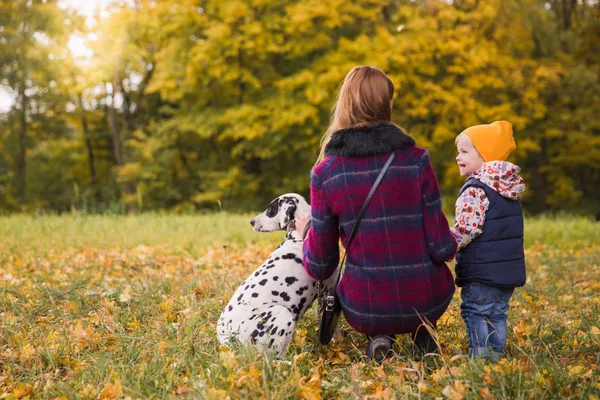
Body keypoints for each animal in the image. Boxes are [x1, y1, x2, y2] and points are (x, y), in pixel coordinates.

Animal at [217, 193, 338, 356]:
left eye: (269, 209)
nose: (251, 221)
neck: (299, 237)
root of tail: (227, 341)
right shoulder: (326, 293)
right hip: (282, 314)